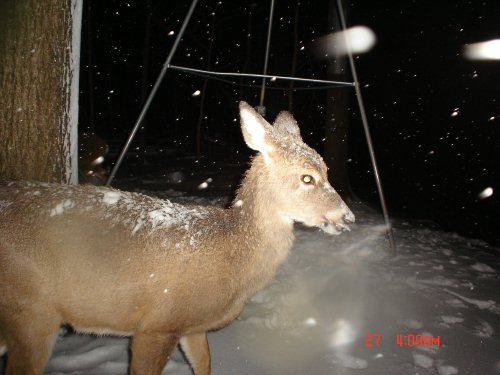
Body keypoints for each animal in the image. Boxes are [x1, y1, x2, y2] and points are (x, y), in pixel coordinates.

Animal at [0, 101, 354, 374]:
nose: (348, 217)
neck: (231, 257)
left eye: (327, 171)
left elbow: (206, 365)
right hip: (31, 311)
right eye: (307, 178)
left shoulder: (192, 327)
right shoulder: (157, 324)